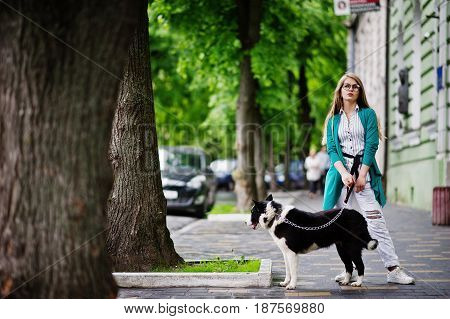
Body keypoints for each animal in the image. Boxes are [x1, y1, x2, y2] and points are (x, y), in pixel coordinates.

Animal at [248, 195, 378, 290]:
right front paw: (285, 283)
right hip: (342, 249)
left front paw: (292, 286)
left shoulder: (292, 253)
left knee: (360, 265)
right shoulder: (285, 253)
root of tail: (360, 216)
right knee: (349, 266)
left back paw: (358, 283)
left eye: (252, 212)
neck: (275, 215)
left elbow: (293, 271)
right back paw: (345, 281)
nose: (246, 222)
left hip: (352, 248)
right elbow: (288, 270)